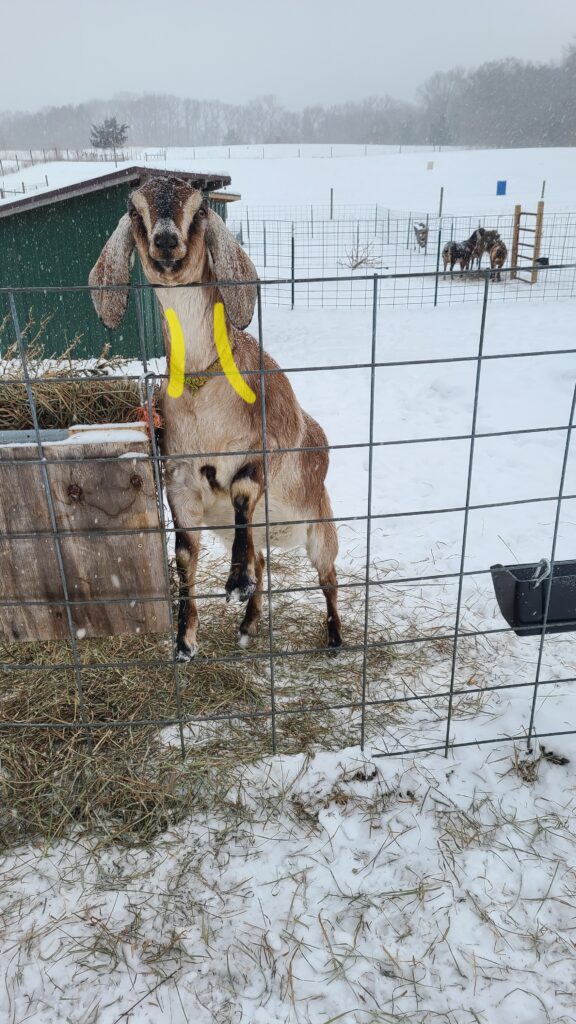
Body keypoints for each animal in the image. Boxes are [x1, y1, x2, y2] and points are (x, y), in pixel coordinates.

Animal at [89, 176, 342, 660]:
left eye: (200, 209)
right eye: (134, 211)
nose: (166, 241)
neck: (203, 392)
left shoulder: (263, 449)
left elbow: (241, 489)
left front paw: (235, 581)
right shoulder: (180, 479)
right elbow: (185, 554)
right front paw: (184, 640)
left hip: (321, 526)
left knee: (329, 577)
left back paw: (336, 636)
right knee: (262, 559)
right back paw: (247, 624)